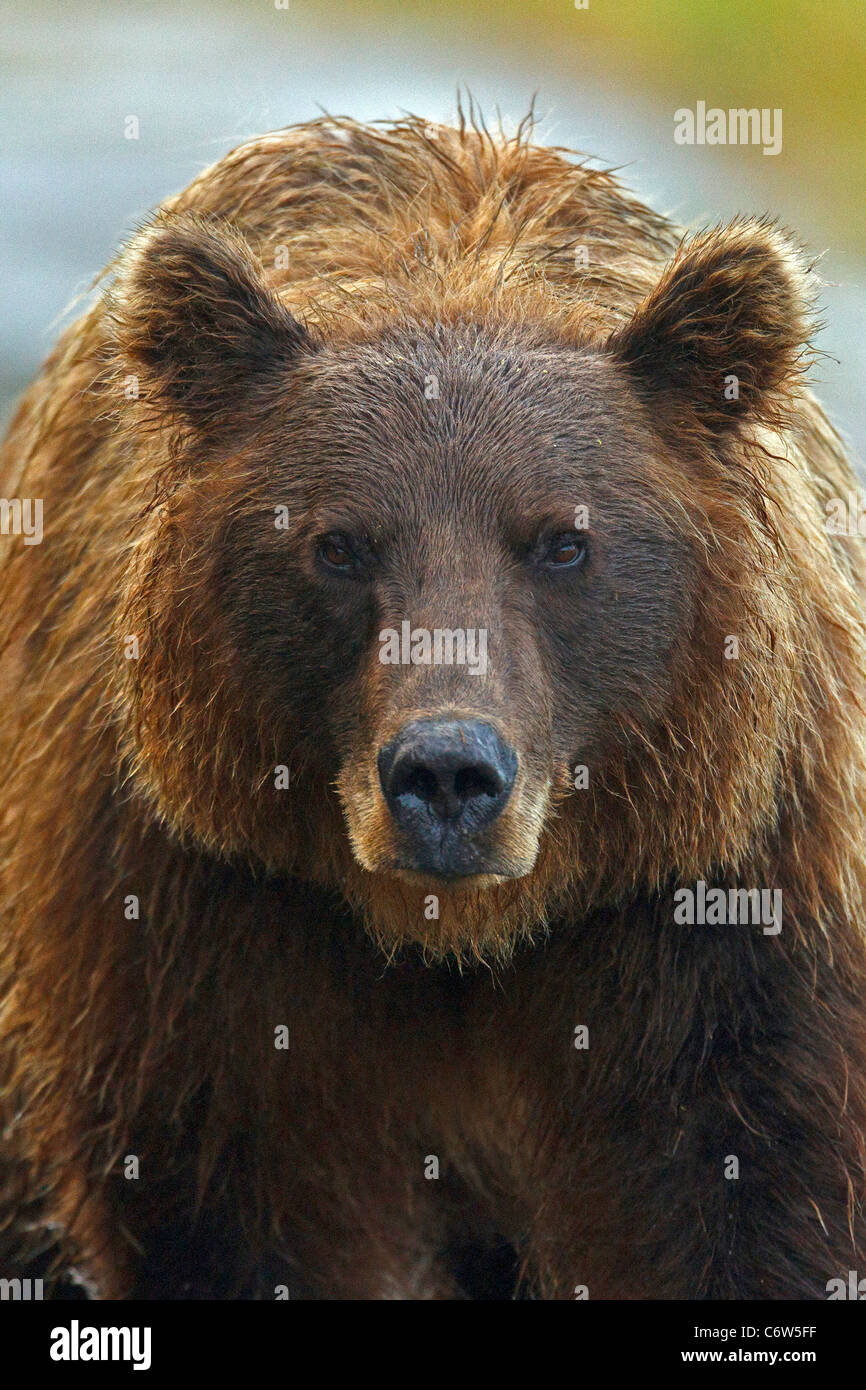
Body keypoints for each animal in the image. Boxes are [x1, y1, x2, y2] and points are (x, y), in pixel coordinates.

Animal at [1, 111, 866, 1301]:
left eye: (561, 541)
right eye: (336, 543)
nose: (446, 773)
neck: (460, 940)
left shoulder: (719, 917)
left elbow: (738, 1201)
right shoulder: (200, 922)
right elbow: (238, 1212)